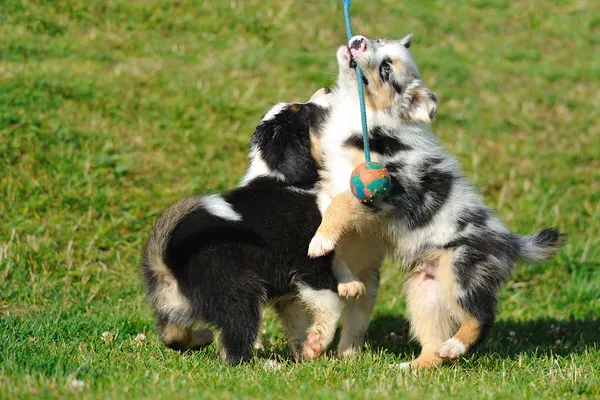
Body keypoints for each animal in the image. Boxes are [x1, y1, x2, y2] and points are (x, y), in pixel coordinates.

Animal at [141, 90, 344, 366]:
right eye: (305, 111)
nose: (327, 89)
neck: (282, 177)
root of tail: (168, 261)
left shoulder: (288, 293)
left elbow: (298, 324)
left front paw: (304, 354)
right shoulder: (311, 265)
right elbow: (331, 305)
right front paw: (316, 345)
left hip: (171, 304)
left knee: (172, 334)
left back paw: (202, 337)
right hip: (240, 293)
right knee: (234, 349)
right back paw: (267, 366)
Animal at [310, 36, 564, 368]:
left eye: (386, 68)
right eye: (378, 40)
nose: (358, 40)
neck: (363, 112)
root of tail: (509, 242)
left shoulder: (382, 188)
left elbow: (340, 206)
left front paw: (320, 241)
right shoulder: (335, 179)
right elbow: (328, 205)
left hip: (461, 271)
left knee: (482, 317)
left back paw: (456, 345)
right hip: (426, 288)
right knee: (432, 340)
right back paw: (416, 365)